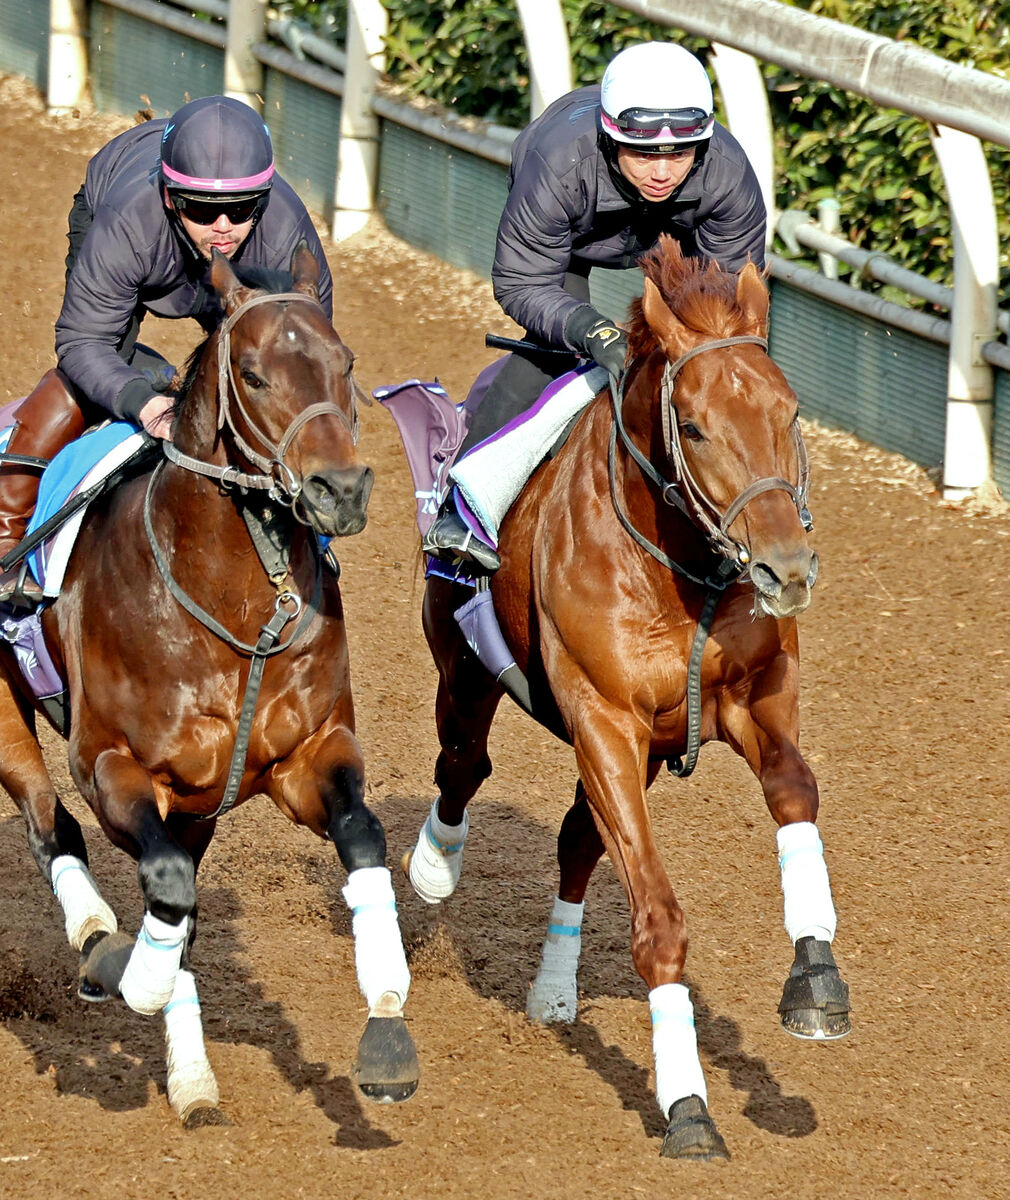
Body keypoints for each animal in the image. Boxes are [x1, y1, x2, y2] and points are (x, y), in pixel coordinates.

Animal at [0, 243, 417, 1123]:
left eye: (346, 364)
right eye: (254, 375)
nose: (341, 490)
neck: (234, 604)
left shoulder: (302, 757)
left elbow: (362, 836)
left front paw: (388, 1029)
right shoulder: (111, 765)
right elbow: (164, 885)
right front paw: (136, 976)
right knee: (48, 821)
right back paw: (102, 946)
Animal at [405, 236, 844, 1161]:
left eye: (789, 415)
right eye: (698, 426)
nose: (787, 569)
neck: (679, 568)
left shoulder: (744, 699)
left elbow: (795, 791)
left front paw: (817, 981)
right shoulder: (602, 717)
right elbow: (660, 922)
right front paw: (688, 1106)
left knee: (577, 837)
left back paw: (552, 990)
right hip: (467, 669)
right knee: (462, 765)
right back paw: (433, 864)